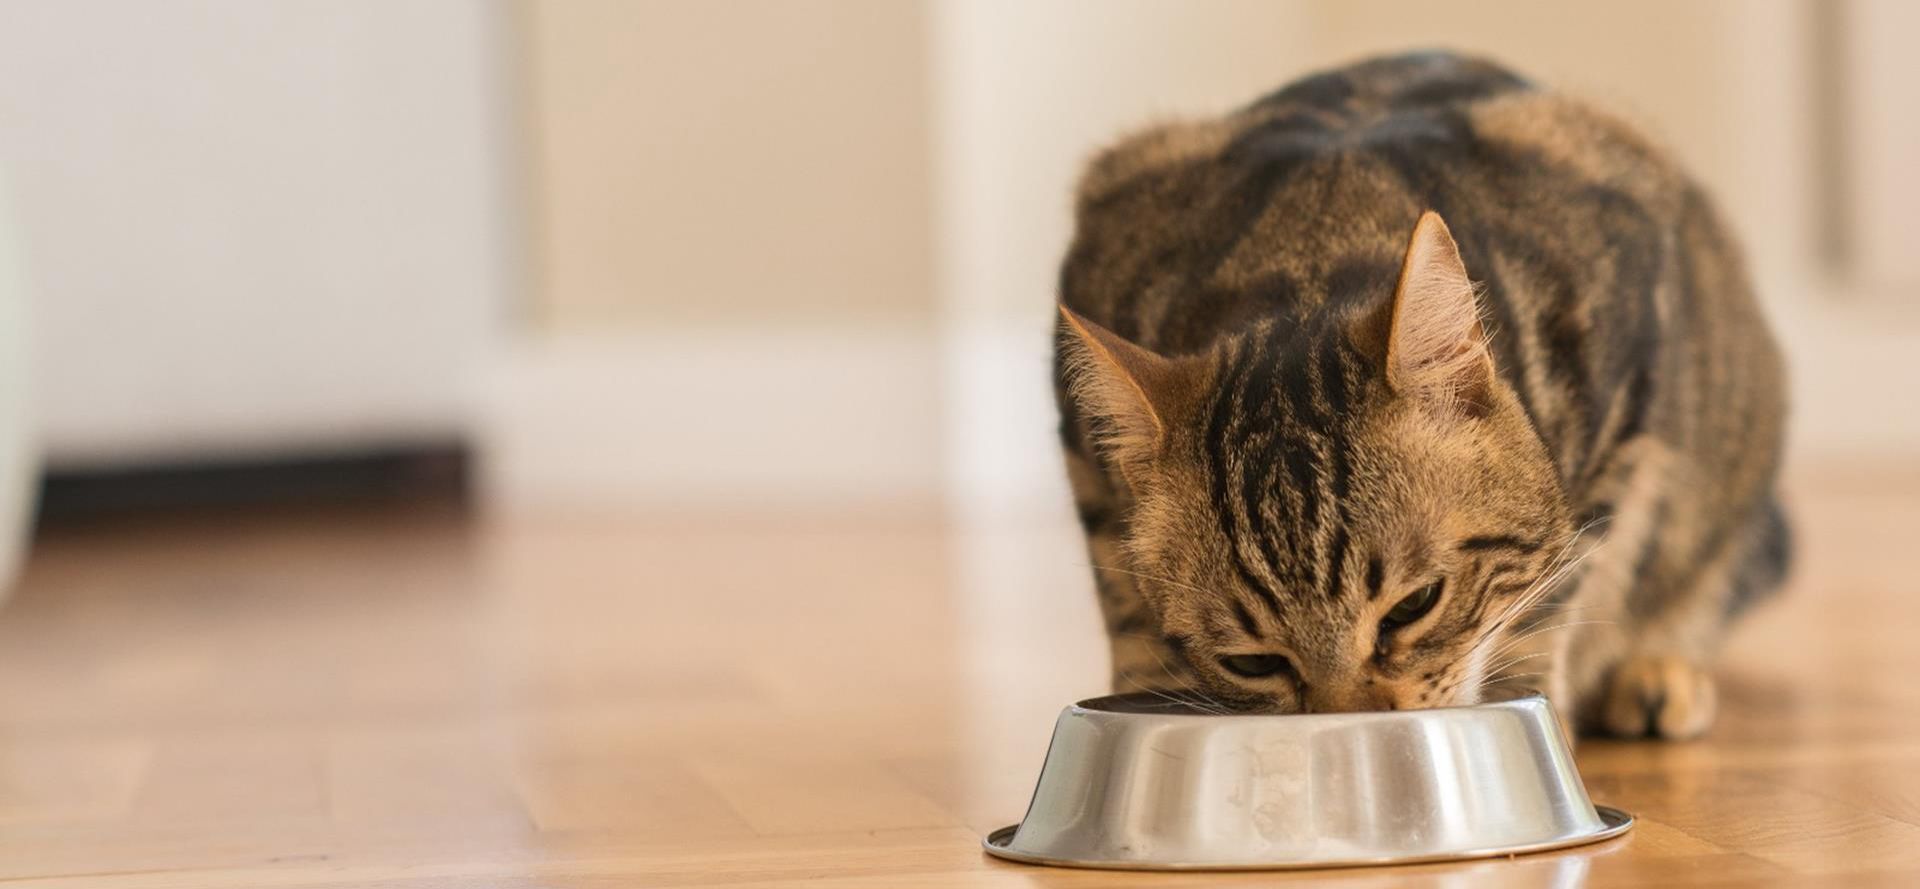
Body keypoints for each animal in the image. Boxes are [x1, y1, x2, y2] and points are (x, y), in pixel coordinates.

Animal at [1052, 52, 1781, 741]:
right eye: (1252, 661)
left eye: (1414, 604)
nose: (1351, 718)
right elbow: (1125, 605)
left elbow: (1557, 592)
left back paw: (1656, 670)